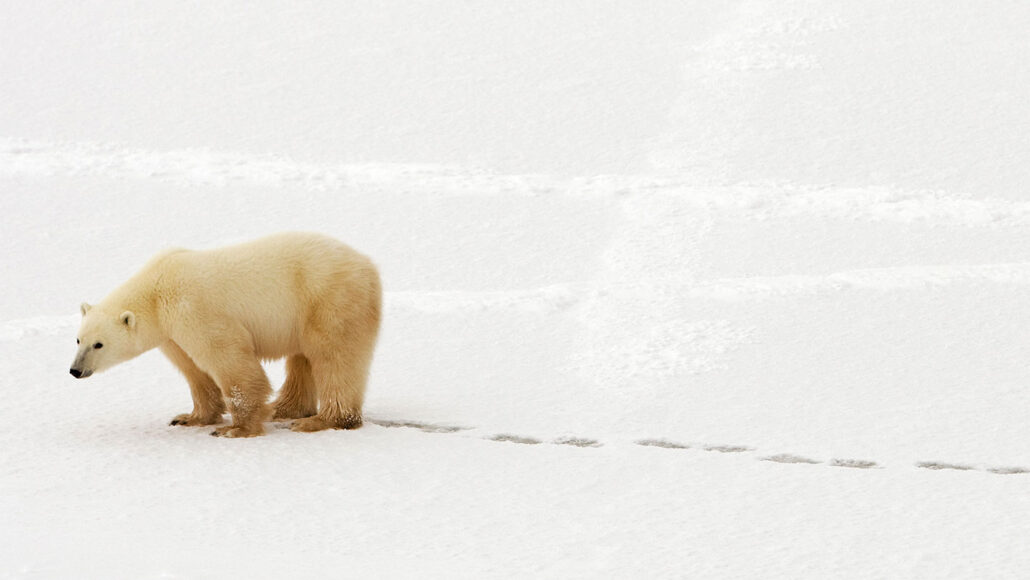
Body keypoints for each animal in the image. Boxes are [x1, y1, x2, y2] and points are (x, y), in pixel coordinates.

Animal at [70, 233, 383, 438]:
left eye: (99, 344)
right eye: (78, 339)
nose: (75, 370)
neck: (156, 288)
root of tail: (368, 265)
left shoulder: (193, 308)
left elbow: (228, 359)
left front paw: (235, 429)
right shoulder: (171, 332)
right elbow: (193, 369)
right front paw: (189, 418)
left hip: (328, 299)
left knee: (334, 357)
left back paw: (321, 420)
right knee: (303, 359)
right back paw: (283, 409)